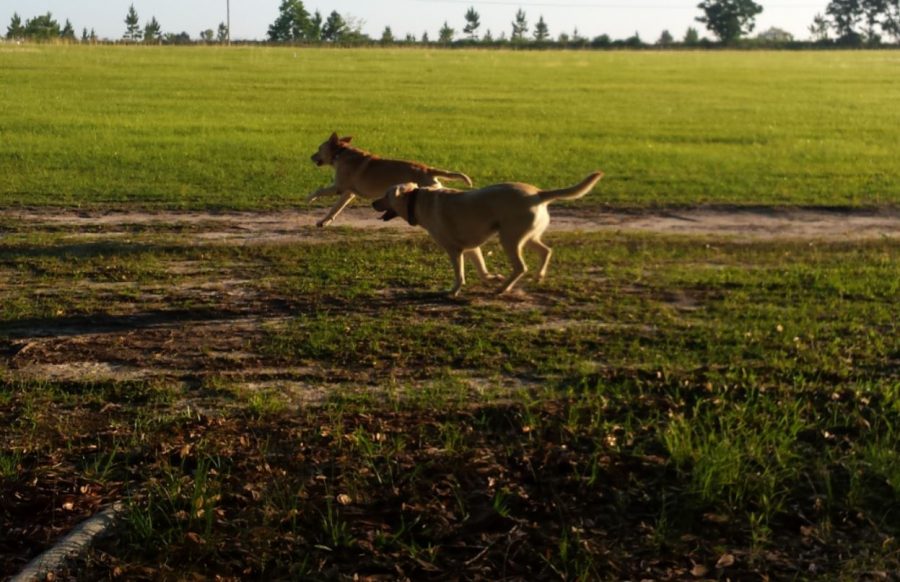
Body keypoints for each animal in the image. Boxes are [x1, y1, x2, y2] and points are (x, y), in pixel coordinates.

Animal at [308, 135, 472, 228]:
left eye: (319, 148)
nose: (311, 156)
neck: (340, 153)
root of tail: (427, 169)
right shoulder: (348, 193)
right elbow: (335, 209)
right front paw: (324, 221)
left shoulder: (339, 187)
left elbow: (319, 191)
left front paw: (310, 198)